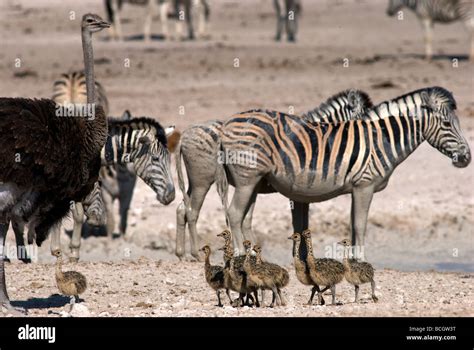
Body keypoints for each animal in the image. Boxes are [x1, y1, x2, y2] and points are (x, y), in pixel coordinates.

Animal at [176, 89, 372, 260]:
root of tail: (185, 133)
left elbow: (302, 223)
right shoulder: (299, 191)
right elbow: (299, 223)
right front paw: (300, 256)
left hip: (196, 181)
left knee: (181, 209)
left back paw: (181, 254)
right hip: (203, 180)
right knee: (192, 212)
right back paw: (196, 253)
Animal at [221, 86, 470, 258]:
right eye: (447, 124)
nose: (467, 157)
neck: (382, 139)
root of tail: (227, 122)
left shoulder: (351, 189)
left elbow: (348, 225)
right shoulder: (364, 186)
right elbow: (360, 225)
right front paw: (361, 261)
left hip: (253, 181)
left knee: (243, 218)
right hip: (246, 180)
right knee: (234, 214)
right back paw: (240, 255)